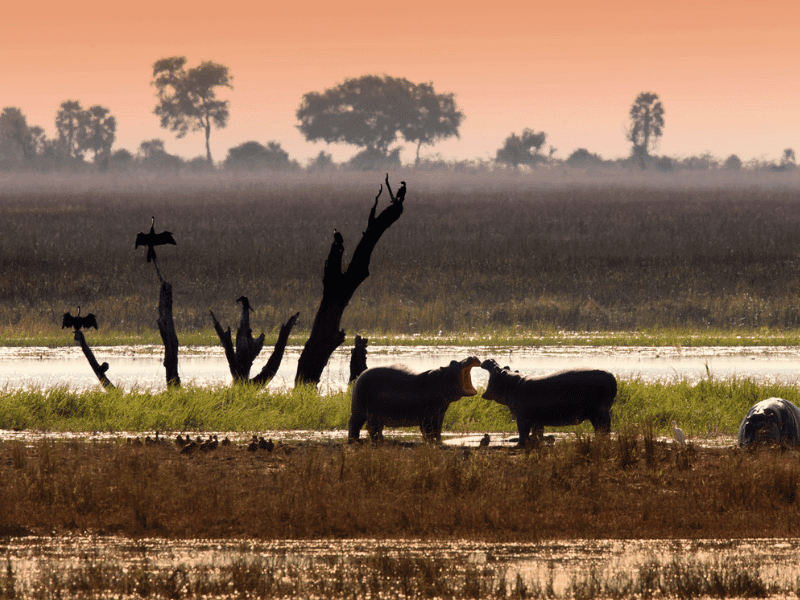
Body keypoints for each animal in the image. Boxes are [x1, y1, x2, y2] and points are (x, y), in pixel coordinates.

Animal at [348, 356, 481, 443]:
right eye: (452, 362)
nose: (472, 356)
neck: (441, 379)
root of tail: (359, 376)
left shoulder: (440, 413)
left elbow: (438, 429)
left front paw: (439, 442)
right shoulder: (427, 414)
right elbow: (428, 430)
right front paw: (430, 442)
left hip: (376, 415)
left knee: (374, 429)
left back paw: (381, 441)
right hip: (359, 411)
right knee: (355, 425)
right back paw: (354, 441)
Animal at [480, 359, 617, 446]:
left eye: (497, 368)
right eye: (506, 366)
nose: (490, 360)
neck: (511, 384)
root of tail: (612, 377)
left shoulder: (522, 418)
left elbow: (522, 432)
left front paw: (520, 444)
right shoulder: (537, 420)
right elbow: (538, 432)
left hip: (598, 413)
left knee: (603, 428)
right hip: (601, 412)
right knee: (604, 428)